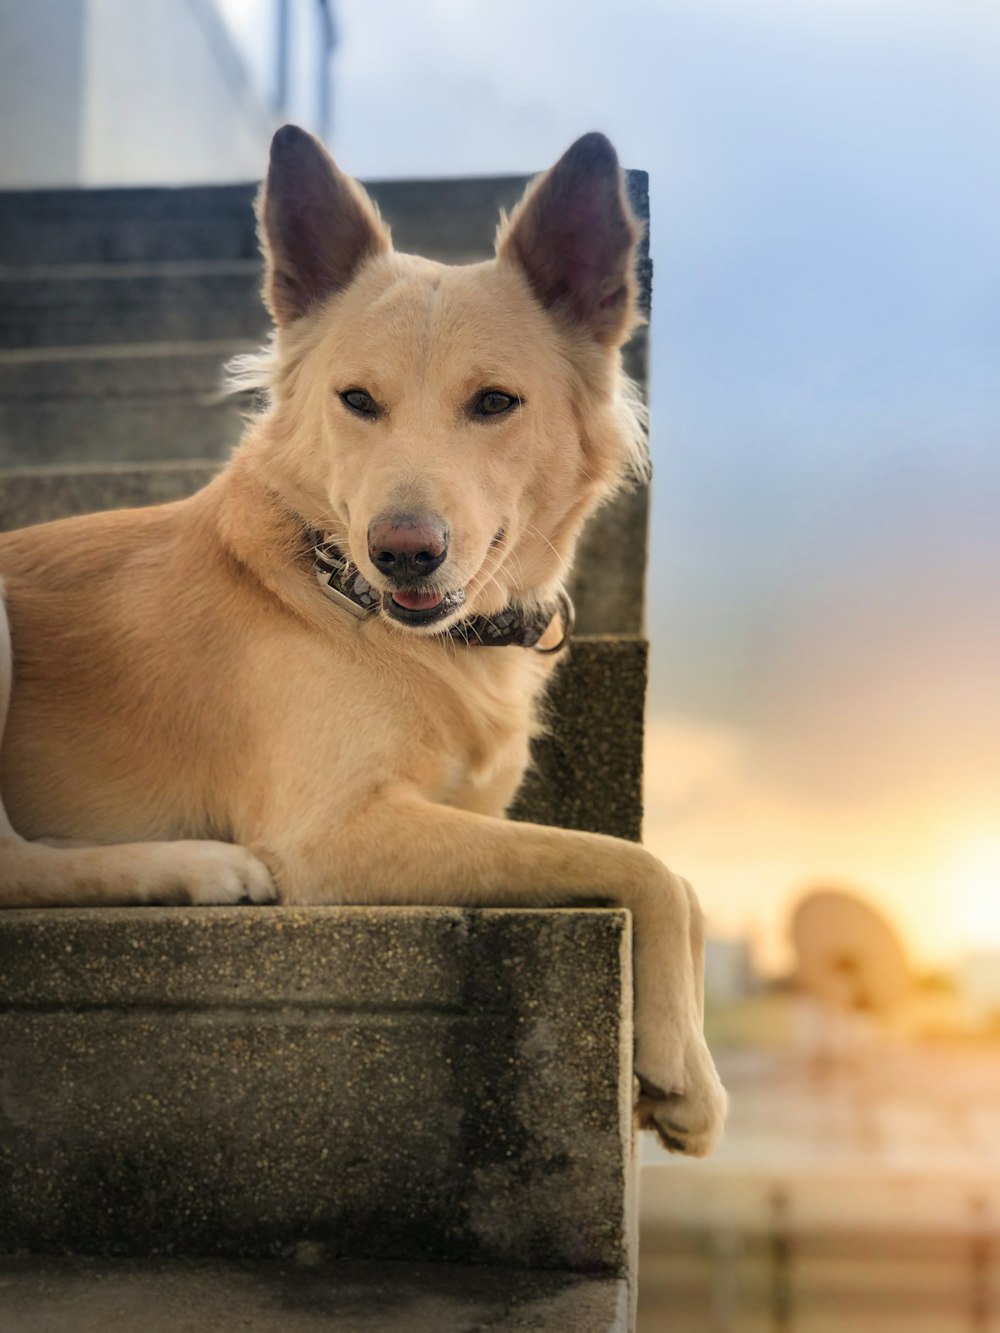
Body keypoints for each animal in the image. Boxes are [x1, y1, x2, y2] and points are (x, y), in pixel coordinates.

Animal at [0, 127, 725, 1157]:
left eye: (495, 402)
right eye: (356, 400)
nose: (404, 551)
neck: (344, 591)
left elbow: (647, 866)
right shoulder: (333, 833)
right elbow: (643, 863)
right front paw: (687, 1070)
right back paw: (199, 865)